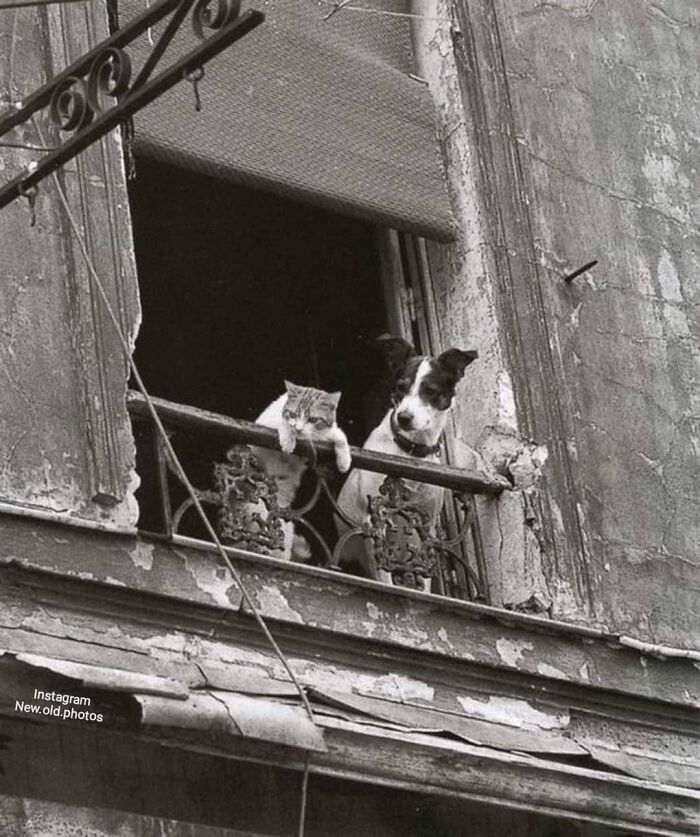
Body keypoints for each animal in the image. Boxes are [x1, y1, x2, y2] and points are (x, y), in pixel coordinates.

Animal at [234, 382, 350, 560]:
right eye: (293, 414)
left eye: (313, 419)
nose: (299, 428)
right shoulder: (262, 426)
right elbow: (282, 426)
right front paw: (288, 439)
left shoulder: (325, 432)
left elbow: (338, 435)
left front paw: (345, 461)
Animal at [336, 334, 478, 588]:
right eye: (401, 388)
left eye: (429, 391)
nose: (403, 417)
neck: (410, 453)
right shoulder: (375, 520)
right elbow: (383, 575)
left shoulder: (426, 527)